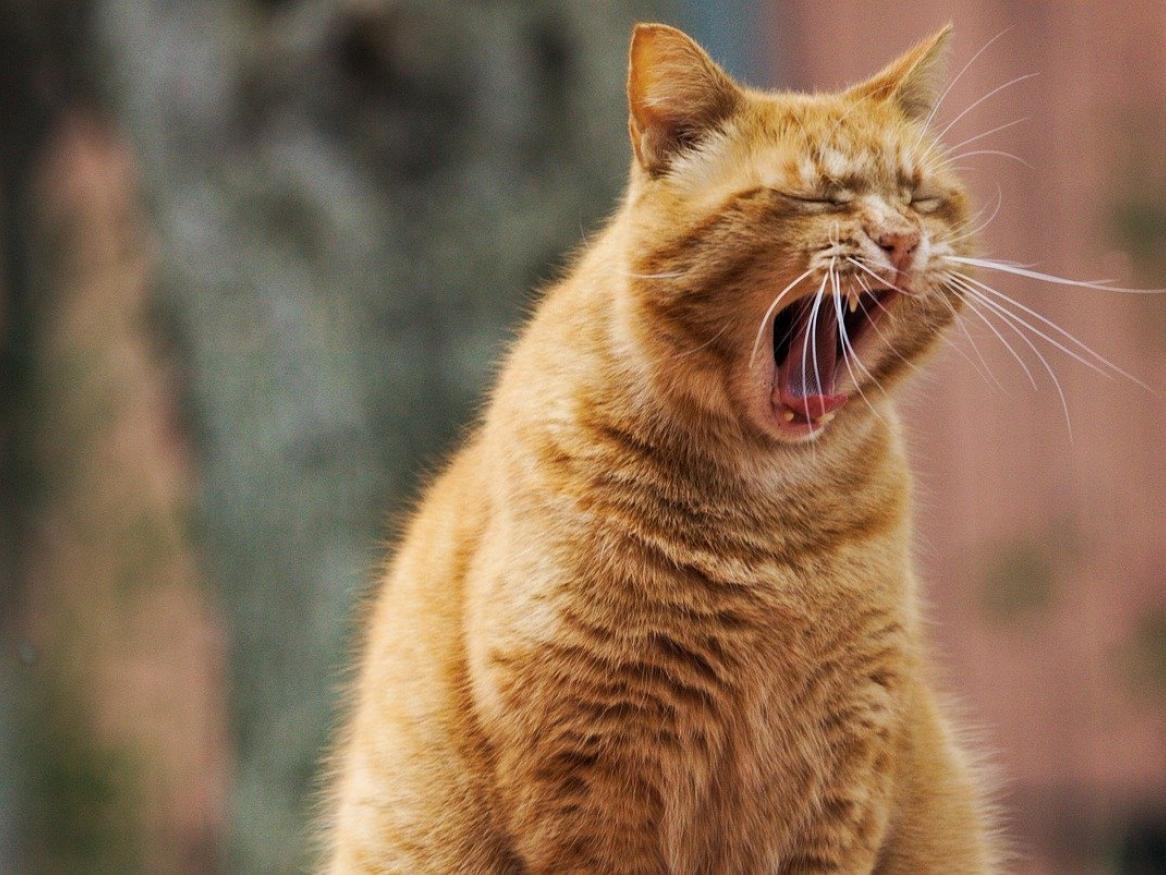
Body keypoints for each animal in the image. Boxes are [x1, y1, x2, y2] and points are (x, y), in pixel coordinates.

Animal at [321, 22, 1002, 875]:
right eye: (819, 196)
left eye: (918, 197)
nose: (903, 240)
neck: (769, 529)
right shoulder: (592, 772)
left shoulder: (845, 775)